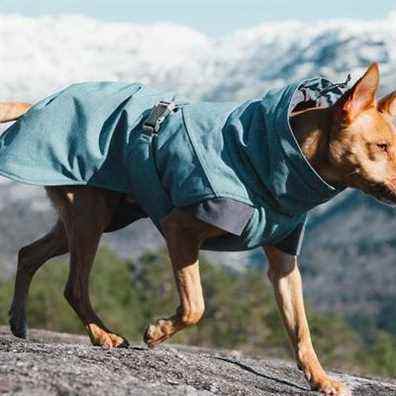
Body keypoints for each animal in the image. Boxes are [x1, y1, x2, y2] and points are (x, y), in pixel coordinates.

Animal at [0, 63, 396, 394]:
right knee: (74, 286)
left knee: (28, 253)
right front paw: (158, 332)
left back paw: (19, 322)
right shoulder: (180, 230)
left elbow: (301, 330)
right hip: (91, 217)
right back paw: (103, 335)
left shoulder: (283, 262)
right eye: (381, 146)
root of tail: (38, 105)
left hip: (94, 218)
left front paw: (321, 379)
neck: (273, 155)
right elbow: (195, 306)